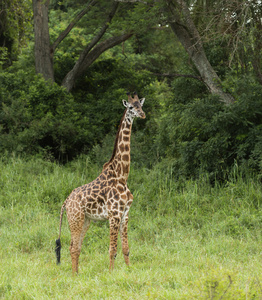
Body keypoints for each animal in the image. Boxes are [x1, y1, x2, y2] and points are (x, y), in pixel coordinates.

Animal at [55, 92, 145, 274]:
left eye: (141, 105)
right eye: (131, 107)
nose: (142, 114)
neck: (122, 175)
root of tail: (66, 202)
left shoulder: (125, 213)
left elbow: (126, 248)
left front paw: (129, 270)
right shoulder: (114, 214)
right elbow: (112, 249)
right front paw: (111, 273)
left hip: (85, 220)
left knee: (76, 247)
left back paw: (77, 273)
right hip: (75, 219)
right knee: (73, 247)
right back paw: (74, 275)